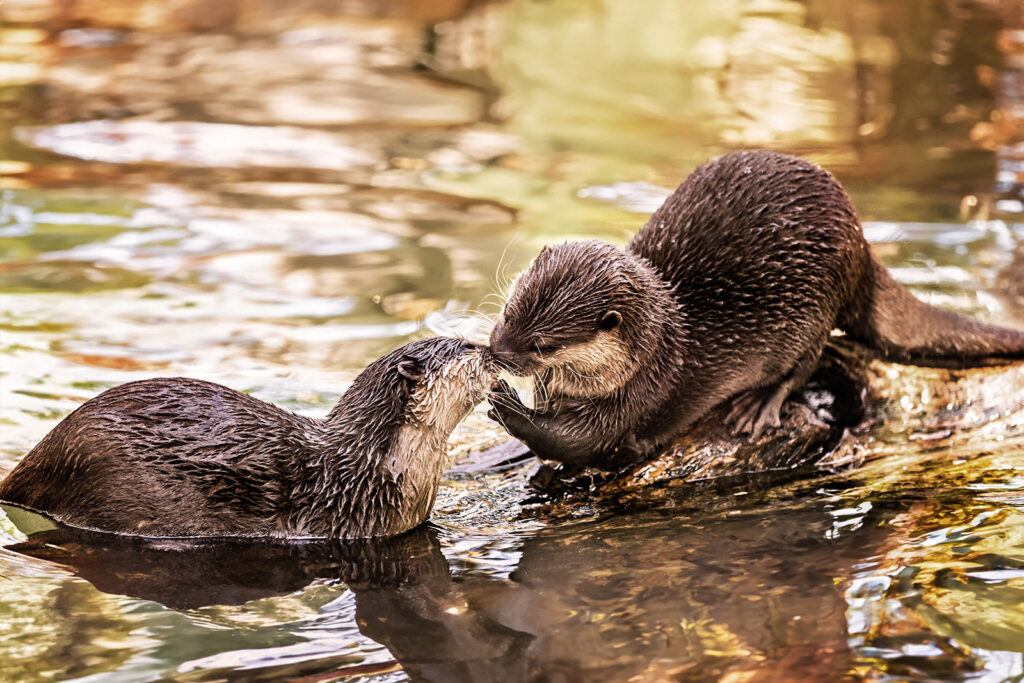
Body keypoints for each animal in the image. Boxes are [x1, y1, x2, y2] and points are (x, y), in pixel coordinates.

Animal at [488, 150, 1024, 467]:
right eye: (508, 313)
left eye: (541, 344)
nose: (494, 352)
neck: (653, 349)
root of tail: (861, 242)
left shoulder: (644, 391)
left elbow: (579, 443)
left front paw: (509, 407)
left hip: (815, 308)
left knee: (804, 363)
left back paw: (758, 404)